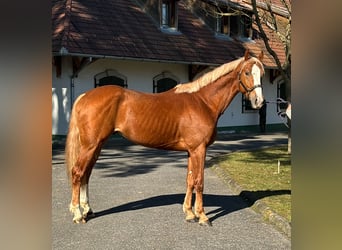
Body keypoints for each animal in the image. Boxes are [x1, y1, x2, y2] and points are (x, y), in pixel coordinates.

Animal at [65, 49, 266, 226]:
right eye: (247, 72)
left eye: (262, 74)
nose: (259, 102)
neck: (202, 102)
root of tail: (84, 96)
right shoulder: (199, 149)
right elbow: (199, 182)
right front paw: (202, 216)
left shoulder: (191, 151)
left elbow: (190, 180)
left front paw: (189, 213)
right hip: (90, 146)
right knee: (78, 172)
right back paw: (77, 214)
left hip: (96, 145)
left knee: (86, 174)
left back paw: (88, 209)